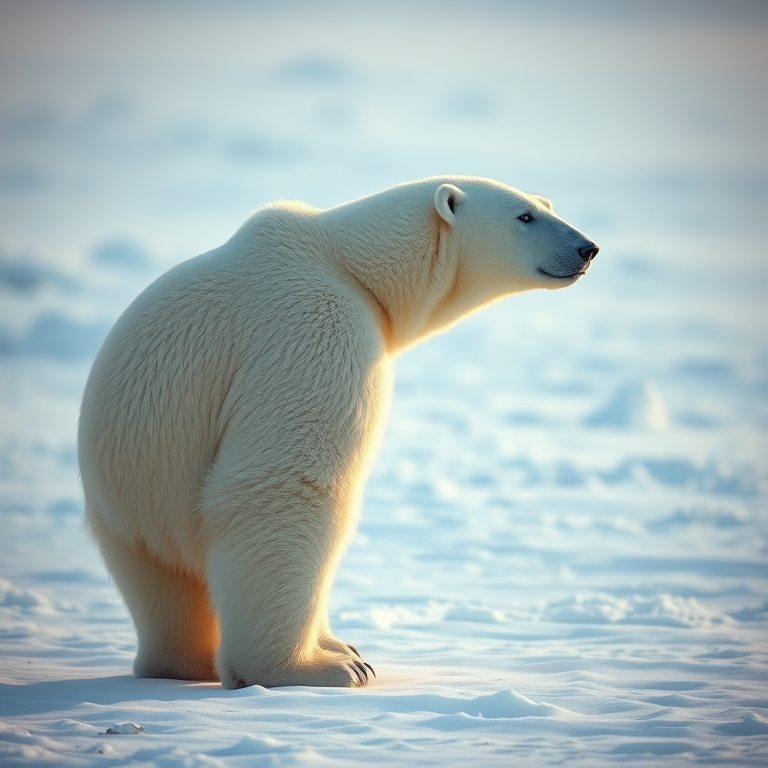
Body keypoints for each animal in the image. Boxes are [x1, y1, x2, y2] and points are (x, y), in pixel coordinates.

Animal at [78, 176, 598, 689]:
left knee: (162, 591)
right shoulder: (318, 326)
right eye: (524, 216)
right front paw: (328, 664)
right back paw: (303, 668)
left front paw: (343, 645)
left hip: (127, 520)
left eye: (546, 204)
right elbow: (285, 485)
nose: (587, 248)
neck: (346, 263)